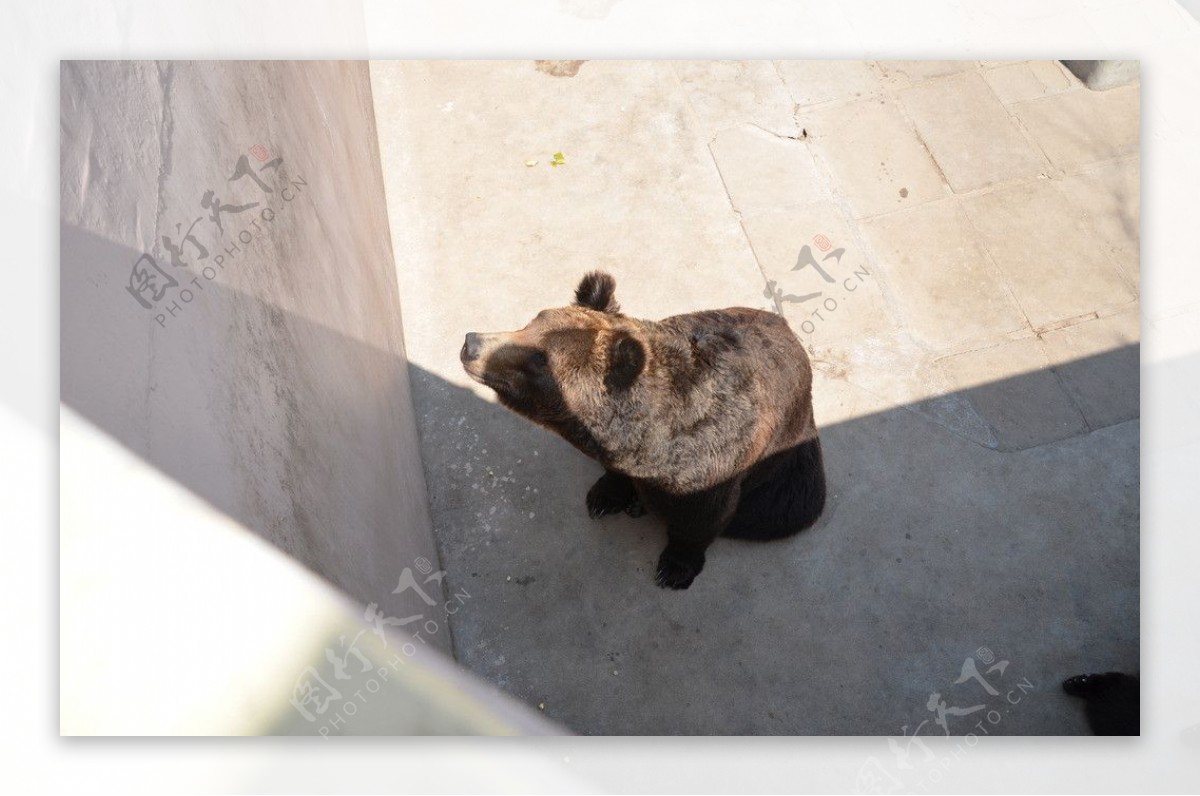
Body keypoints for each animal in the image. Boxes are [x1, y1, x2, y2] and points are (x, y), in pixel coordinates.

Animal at [458, 271, 825, 588]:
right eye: (529, 323)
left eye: (538, 359)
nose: (471, 343)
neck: (654, 446)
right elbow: (614, 476)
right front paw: (604, 496)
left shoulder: (717, 460)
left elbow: (703, 517)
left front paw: (674, 569)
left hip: (789, 469)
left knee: (781, 511)